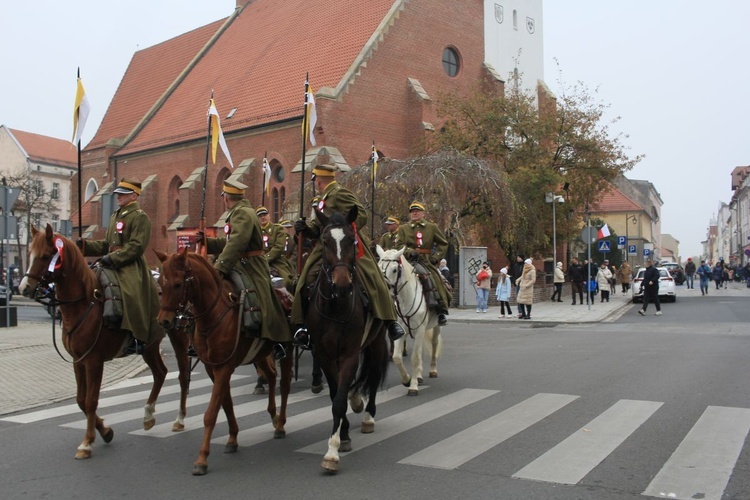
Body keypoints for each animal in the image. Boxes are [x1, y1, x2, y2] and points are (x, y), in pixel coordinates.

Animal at [20, 225, 192, 458]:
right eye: (29, 254)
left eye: (46, 256)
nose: (24, 288)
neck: (85, 303)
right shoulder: (78, 361)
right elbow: (81, 400)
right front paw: (105, 431)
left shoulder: (94, 361)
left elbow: (91, 401)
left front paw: (87, 442)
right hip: (150, 345)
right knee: (160, 373)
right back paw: (148, 416)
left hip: (179, 337)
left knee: (182, 376)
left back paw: (179, 420)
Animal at [154, 248, 292, 474]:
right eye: (159, 284)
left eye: (177, 284)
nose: (164, 321)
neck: (214, 313)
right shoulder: (213, 368)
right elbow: (226, 404)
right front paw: (232, 438)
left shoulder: (224, 368)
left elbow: (211, 413)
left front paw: (202, 459)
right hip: (259, 354)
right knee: (271, 376)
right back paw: (272, 414)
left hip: (287, 349)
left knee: (285, 385)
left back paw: (280, 424)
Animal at [306, 207, 390, 472]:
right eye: (324, 241)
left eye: (352, 240)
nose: (342, 284)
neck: (335, 306)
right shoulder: (324, 356)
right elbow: (336, 395)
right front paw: (342, 435)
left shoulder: (350, 354)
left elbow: (339, 400)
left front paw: (332, 452)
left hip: (376, 343)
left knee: (373, 376)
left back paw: (368, 416)